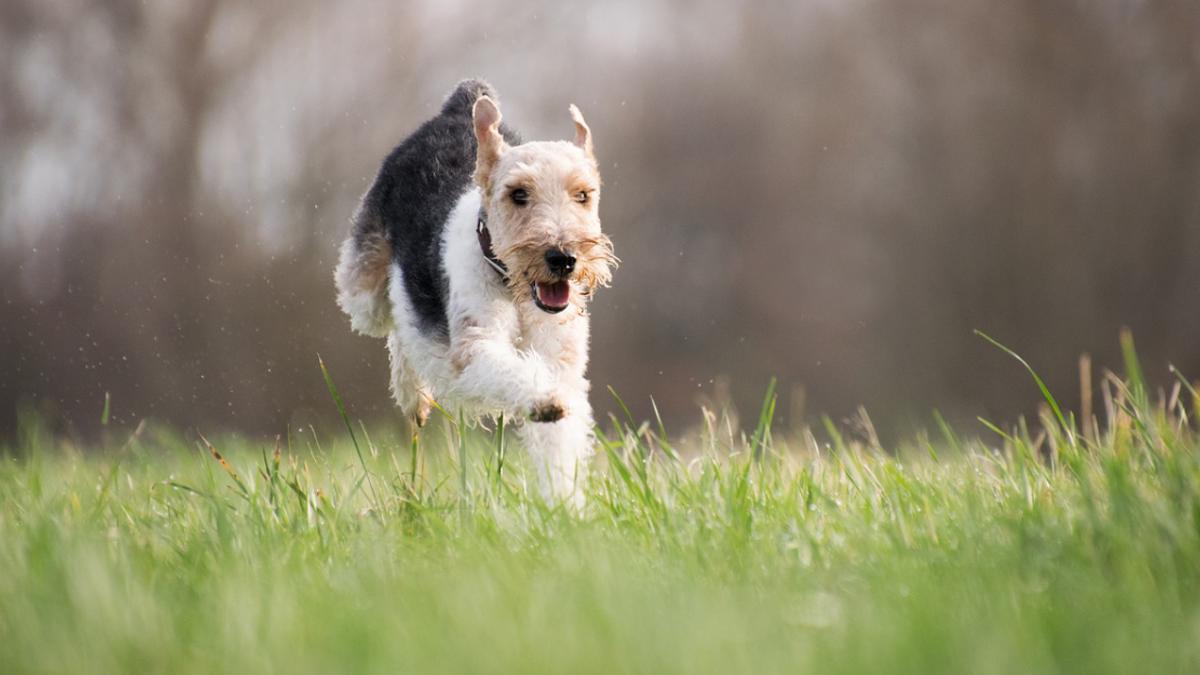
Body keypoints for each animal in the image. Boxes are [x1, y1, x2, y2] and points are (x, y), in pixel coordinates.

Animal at [338, 78, 619, 504]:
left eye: (583, 194)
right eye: (518, 193)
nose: (563, 258)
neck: (514, 289)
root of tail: (459, 105)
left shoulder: (562, 361)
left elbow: (560, 441)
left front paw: (565, 506)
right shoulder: (474, 348)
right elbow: (511, 371)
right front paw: (544, 400)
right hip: (363, 291)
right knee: (396, 321)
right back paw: (414, 397)